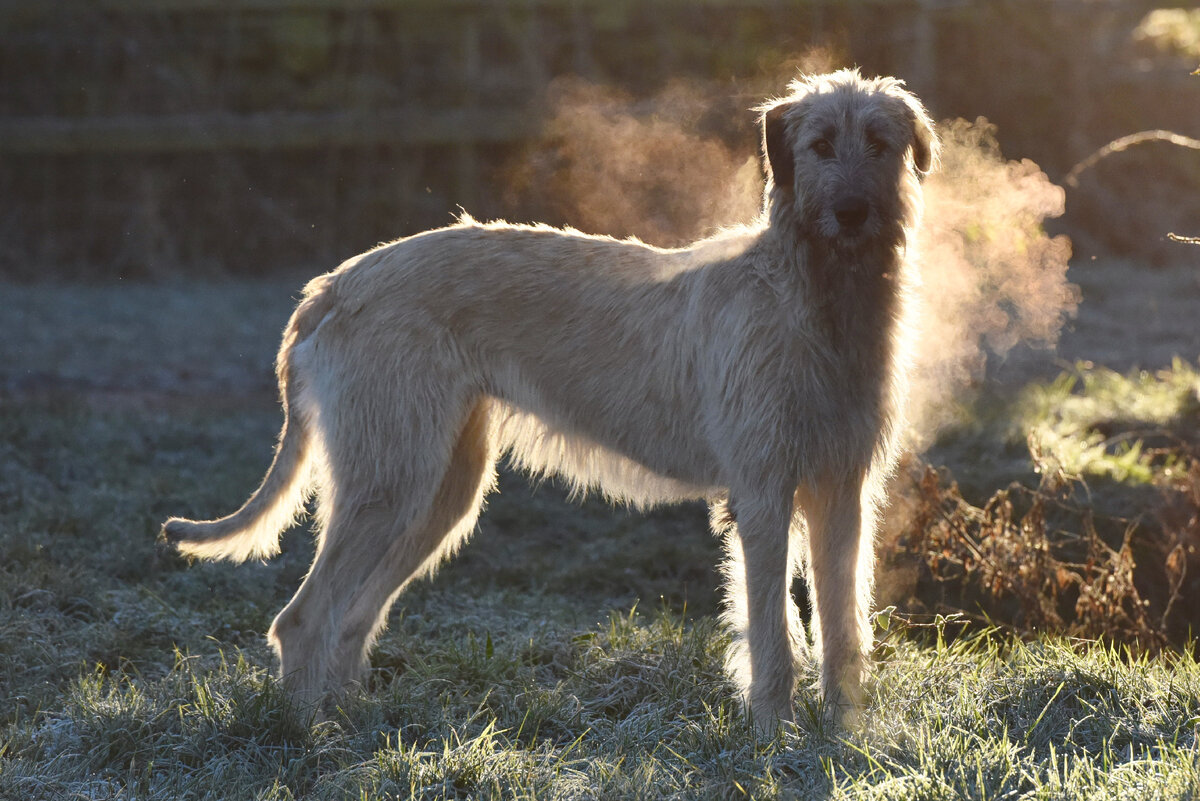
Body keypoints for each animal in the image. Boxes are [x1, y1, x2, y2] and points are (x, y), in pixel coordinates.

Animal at [164, 70, 940, 733]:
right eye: (819, 145)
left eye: (879, 142)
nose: (853, 212)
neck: (816, 296)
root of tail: (334, 283)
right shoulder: (764, 492)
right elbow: (773, 633)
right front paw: (775, 739)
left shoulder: (841, 490)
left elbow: (843, 624)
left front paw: (844, 738)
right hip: (391, 480)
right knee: (302, 619)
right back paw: (308, 737)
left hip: (438, 492)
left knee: (352, 618)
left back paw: (352, 724)